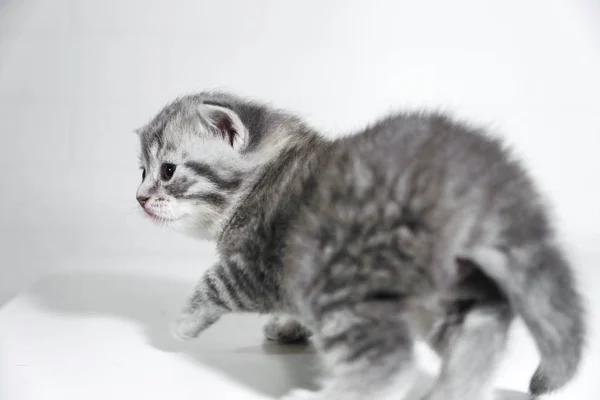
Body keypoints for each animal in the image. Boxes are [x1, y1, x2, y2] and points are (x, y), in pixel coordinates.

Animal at [135, 91, 584, 400]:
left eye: (168, 170)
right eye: (141, 171)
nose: (139, 197)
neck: (265, 177)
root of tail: (481, 176)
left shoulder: (259, 264)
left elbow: (214, 283)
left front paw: (183, 323)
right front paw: (288, 324)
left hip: (341, 273)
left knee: (389, 364)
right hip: (440, 285)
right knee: (482, 324)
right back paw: (454, 390)